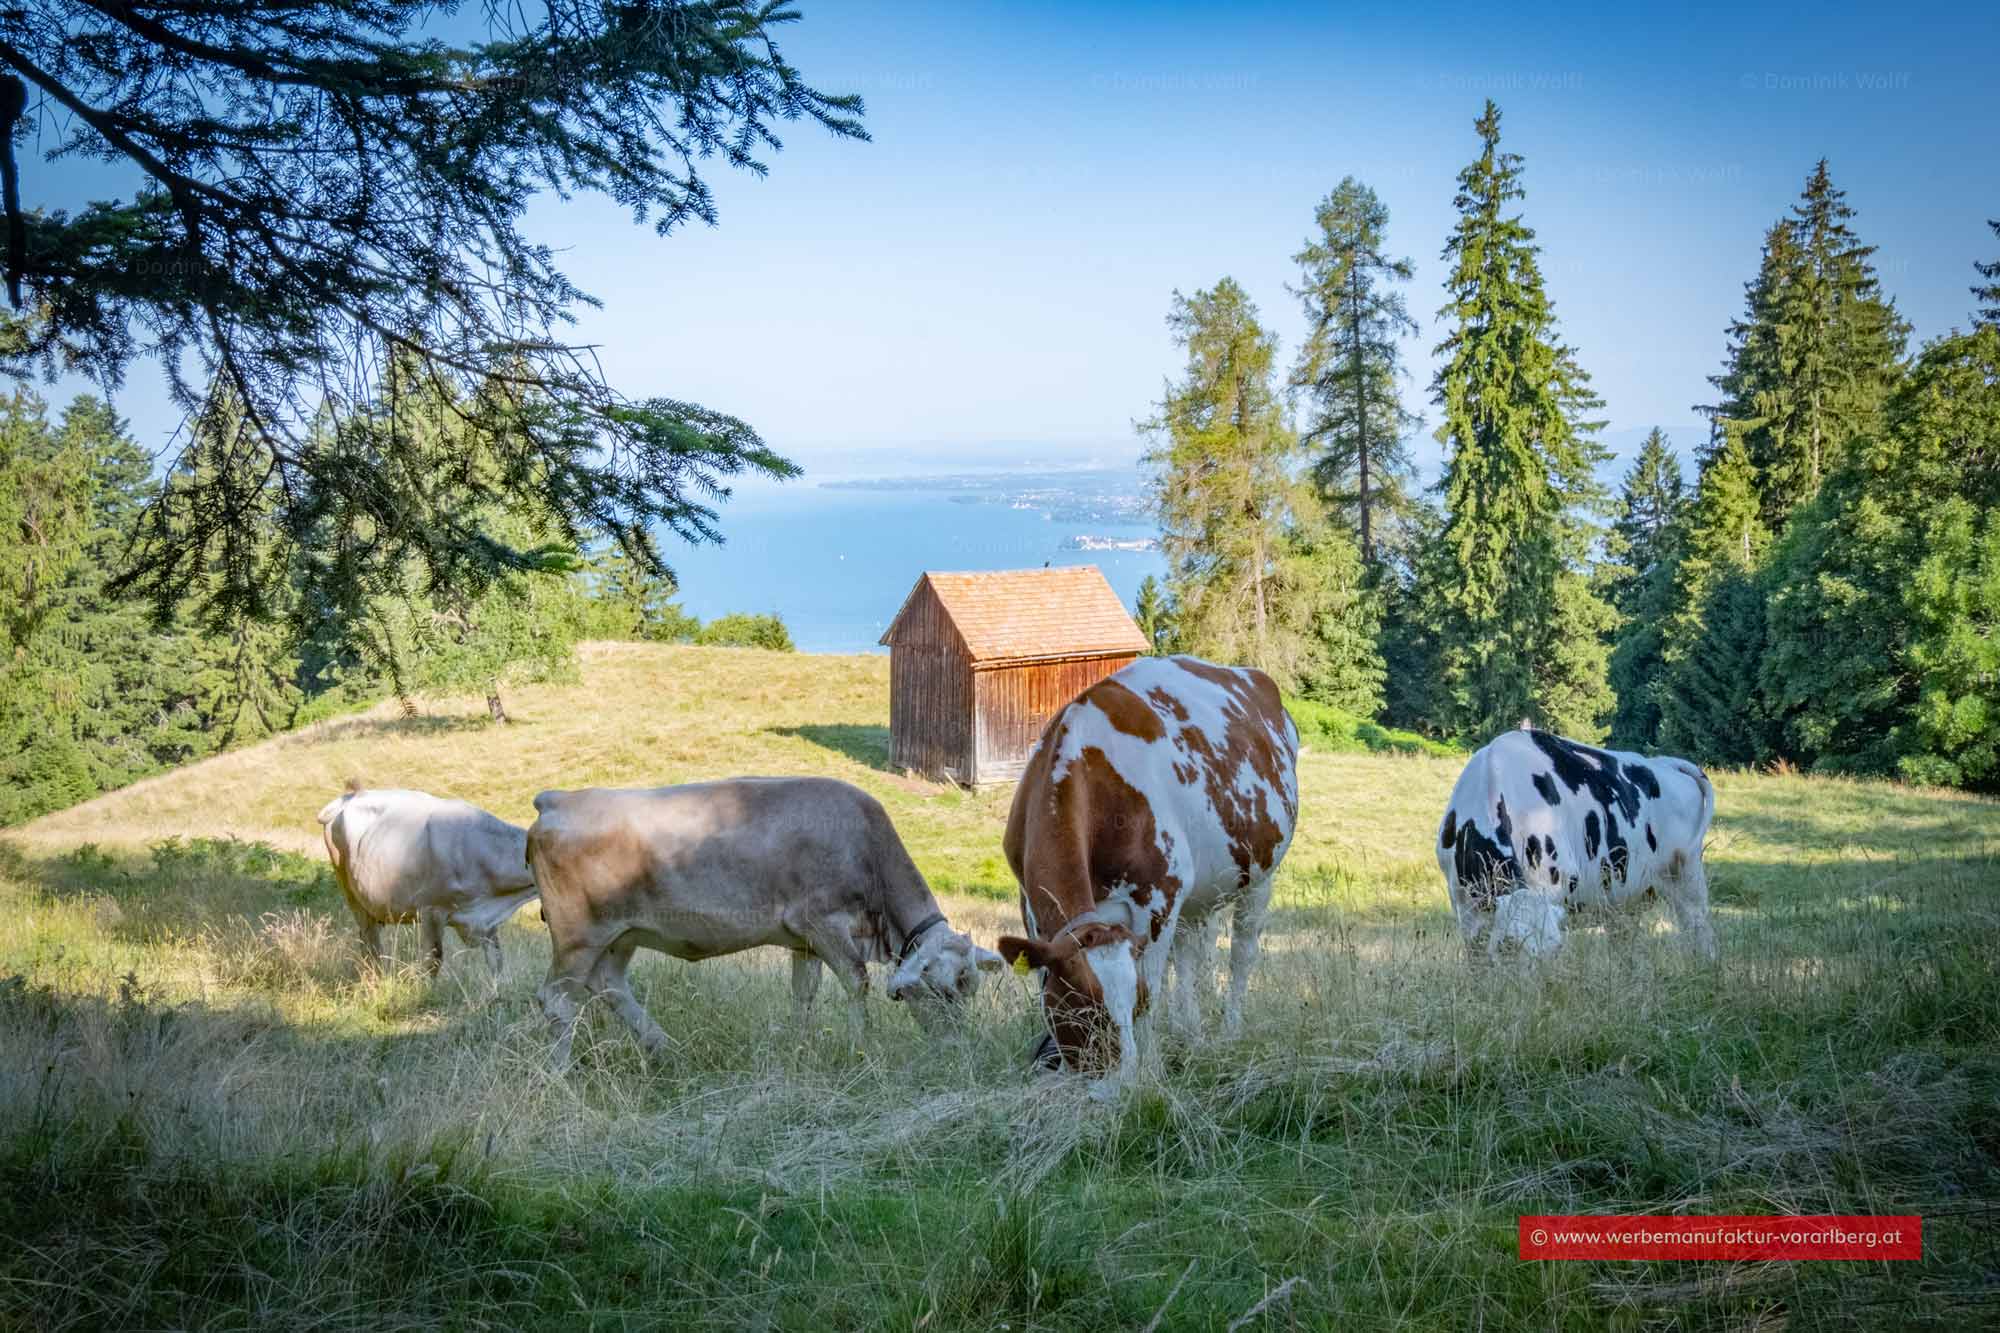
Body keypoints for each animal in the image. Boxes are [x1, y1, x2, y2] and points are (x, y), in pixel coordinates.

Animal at [312, 780, 536, 976]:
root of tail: (351, 796)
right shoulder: (431, 911)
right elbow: (433, 960)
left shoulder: (486, 924)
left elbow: (496, 961)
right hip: (350, 892)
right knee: (370, 942)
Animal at [528, 768, 1008, 1056]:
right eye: (945, 991)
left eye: (969, 989)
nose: (955, 1046)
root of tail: (559, 800)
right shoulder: (820, 921)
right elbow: (857, 982)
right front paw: (862, 1047)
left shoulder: (805, 942)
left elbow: (804, 993)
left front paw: (801, 1046)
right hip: (578, 934)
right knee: (558, 1000)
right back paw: (561, 1075)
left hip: (619, 935)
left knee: (610, 986)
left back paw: (665, 1048)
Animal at [996, 652, 1296, 1080]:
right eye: (1081, 1011)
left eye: (1134, 1003)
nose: (1120, 1083)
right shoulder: (1032, 906)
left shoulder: (1159, 900)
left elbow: (1156, 984)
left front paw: (1150, 1068)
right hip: (1199, 893)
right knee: (1191, 955)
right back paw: (1189, 1030)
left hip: (1260, 876)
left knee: (1241, 953)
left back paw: (1228, 1030)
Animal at [1440, 728, 1720, 956]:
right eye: (1509, 945)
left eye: (1556, 950)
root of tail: (1665, 762)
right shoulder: (1463, 905)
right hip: (1624, 894)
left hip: (1687, 876)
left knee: (1700, 930)